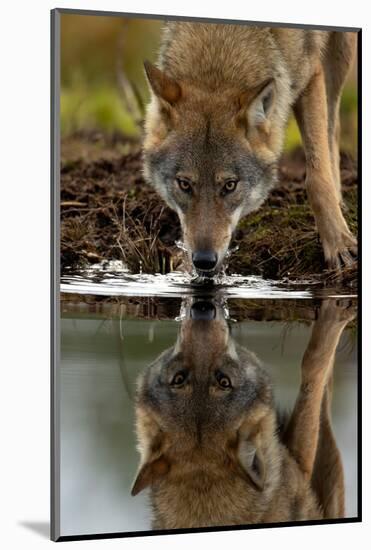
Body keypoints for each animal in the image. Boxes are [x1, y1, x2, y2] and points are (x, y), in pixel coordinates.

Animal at [132, 300, 354, 532]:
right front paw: (336, 313)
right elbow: (313, 368)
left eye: (178, 378)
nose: (202, 309)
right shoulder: (301, 463)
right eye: (225, 381)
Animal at [142, 22, 358, 276]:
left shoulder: (311, 74)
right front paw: (185, 265)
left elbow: (317, 180)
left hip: (340, 52)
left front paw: (339, 244)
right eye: (184, 184)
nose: (203, 260)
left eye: (230, 185)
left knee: (332, 127)